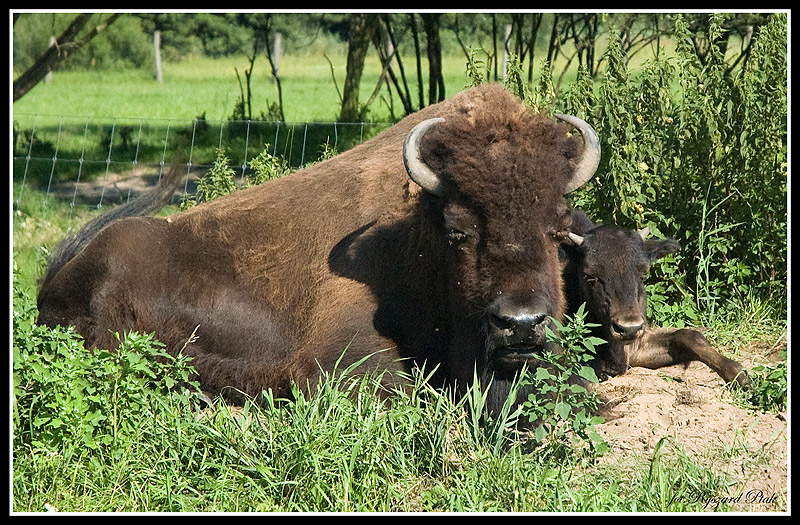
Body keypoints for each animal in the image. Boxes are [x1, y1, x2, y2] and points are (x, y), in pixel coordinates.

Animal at [37, 84, 600, 410]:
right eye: (458, 230)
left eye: (558, 226)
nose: (521, 323)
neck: (417, 238)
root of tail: (59, 277)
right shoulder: (338, 361)